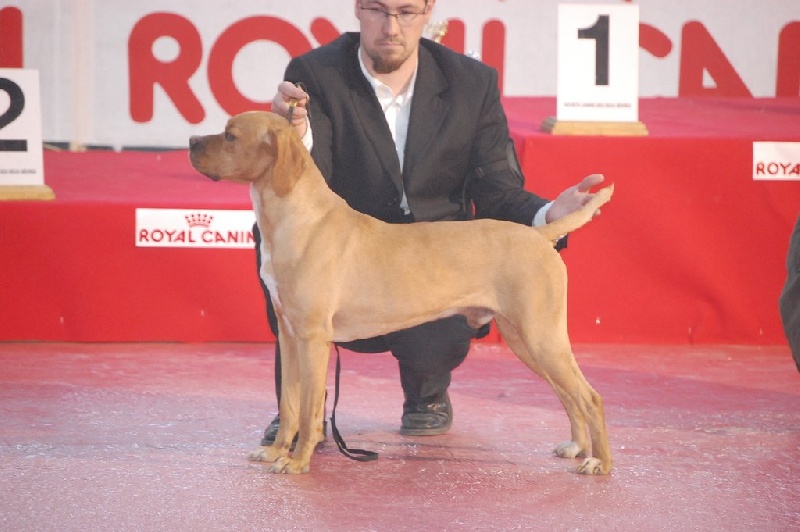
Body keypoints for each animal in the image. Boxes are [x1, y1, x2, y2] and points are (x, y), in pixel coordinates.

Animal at [189, 111, 612, 474]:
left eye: (230, 135)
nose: (191, 141)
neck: (298, 221)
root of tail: (540, 235)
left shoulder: (312, 338)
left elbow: (309, 411)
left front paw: (297, 462)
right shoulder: (290, 335)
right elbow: (290, 404)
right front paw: (277, 452)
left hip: (541, 336)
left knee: (590, 397)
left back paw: (599, 462)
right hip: (524, 339)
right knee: (568, 394)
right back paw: (577, 446)